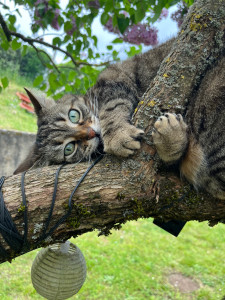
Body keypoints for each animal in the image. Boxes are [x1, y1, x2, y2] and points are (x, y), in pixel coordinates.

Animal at [14, 39, 225, 199]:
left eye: (73, 115)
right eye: (69, 148)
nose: (92, 133)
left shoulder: (115, 79)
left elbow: (112, 109)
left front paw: (117, 136)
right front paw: (172, 139)